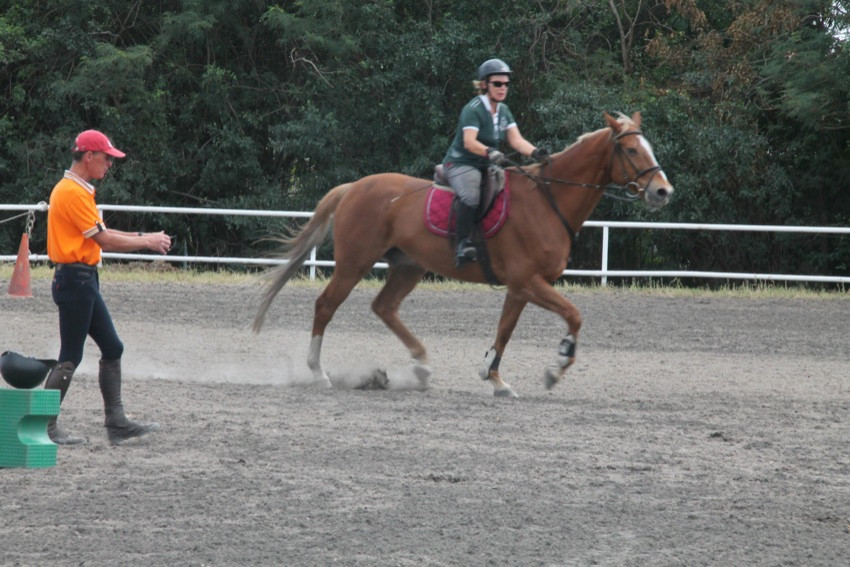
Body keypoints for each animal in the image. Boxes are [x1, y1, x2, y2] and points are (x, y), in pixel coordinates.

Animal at [252, 113, 668, 398]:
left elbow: (504, 331)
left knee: (384, 307)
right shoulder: (528, 283)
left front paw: (496, 379)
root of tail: (354, 186)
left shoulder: (521, 287)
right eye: (631, 149)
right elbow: (574, 315)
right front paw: (558, 365)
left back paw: (421, 366)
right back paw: (318, 373)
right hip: (354, 264)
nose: (664, 191)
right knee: (326, 306)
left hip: (408, 267)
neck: (548, 201)